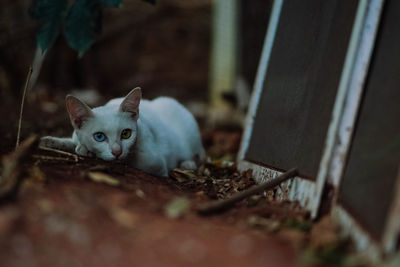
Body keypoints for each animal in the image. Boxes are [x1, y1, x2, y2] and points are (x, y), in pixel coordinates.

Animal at [40, 87, 206, 177]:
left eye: (126, 134)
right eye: (99, 137)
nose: (117, 152)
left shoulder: (155, 162)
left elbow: (131, 159)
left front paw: (86, 150)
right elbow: (70, 142)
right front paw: (49, 141)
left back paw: (188, 163)